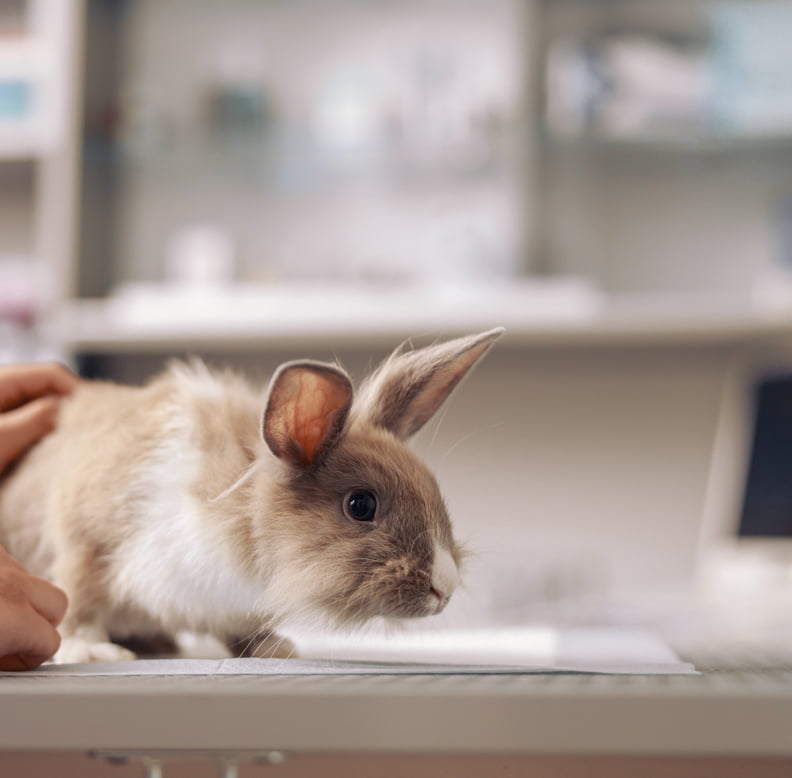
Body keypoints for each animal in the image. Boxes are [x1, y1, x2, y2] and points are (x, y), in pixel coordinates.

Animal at [0, 328, 504, 663]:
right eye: (361, 505)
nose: (444, 587)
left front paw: (276, 649)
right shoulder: (85, 545)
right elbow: (78, 603)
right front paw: (90, 652)